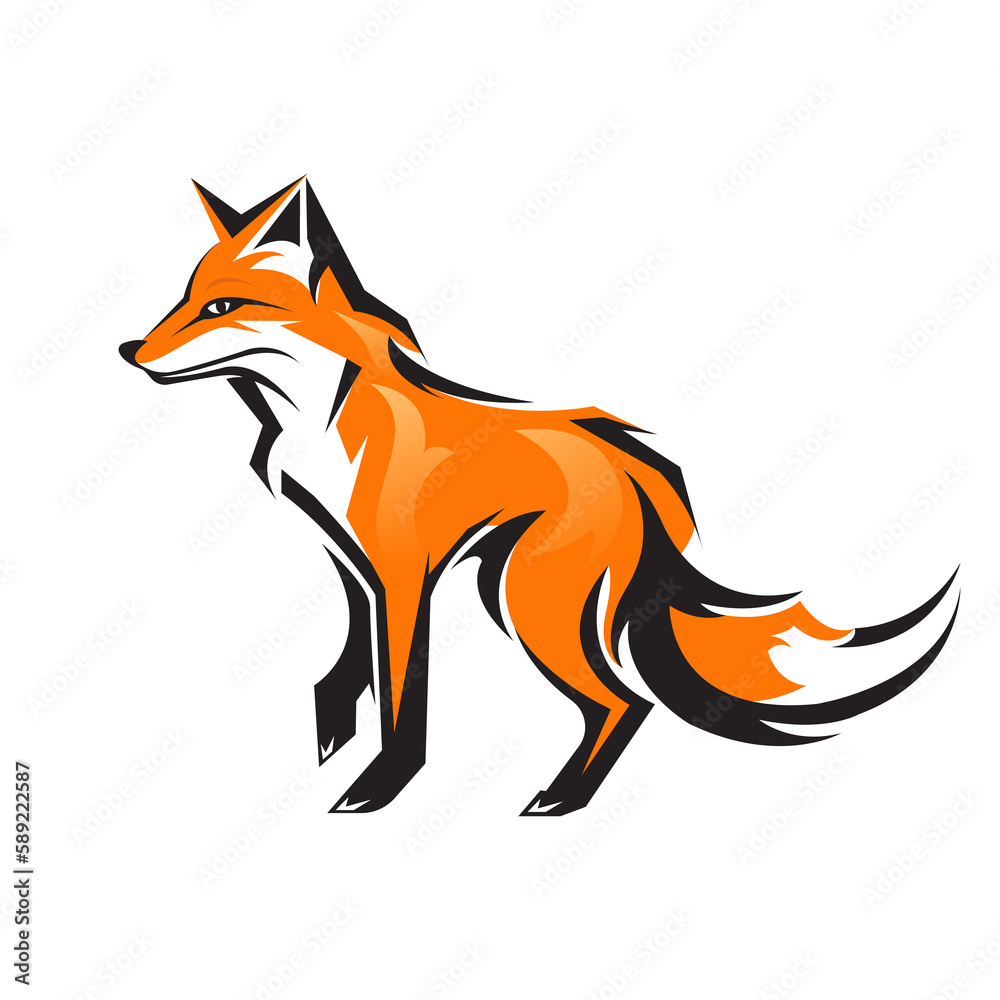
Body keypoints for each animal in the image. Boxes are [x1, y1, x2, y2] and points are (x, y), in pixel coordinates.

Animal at [120, 176, 959, 816]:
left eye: (221, 307)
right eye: (183, 297)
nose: (130, 350)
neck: (321, 420)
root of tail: (635, 463)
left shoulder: (403, 576)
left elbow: (401, 704)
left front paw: (377, 788)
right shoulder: (350, 564)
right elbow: (350, 666)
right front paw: (331, 732)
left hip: (528, 603)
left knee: (624, 703)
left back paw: (560, 800)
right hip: (512, 591)